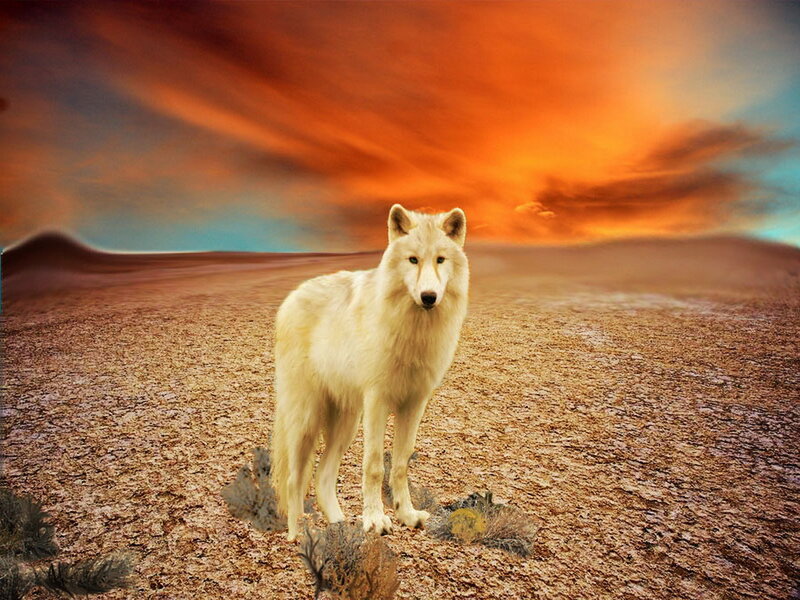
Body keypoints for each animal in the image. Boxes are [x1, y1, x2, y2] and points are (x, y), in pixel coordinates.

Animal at [270, 204, 469, 541]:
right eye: (413, 259)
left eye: (440, 259)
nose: (429, 296)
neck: (414, 330)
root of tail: (292, 296)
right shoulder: (377, 401)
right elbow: (374, 466)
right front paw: (375, 520)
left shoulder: (414, 404)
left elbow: (400, 464)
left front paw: (406, 514)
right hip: (307, 420)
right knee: (294, 479)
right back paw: (298, 534)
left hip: (346, 423)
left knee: (323, 477)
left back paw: (339, 525)